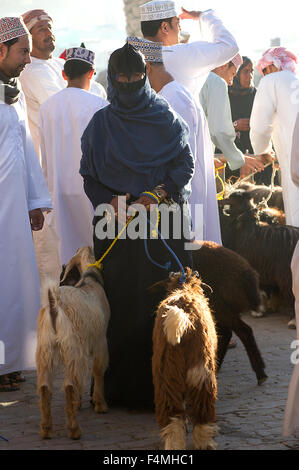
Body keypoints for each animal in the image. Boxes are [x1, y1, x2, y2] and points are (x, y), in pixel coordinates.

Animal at [35, 246, 110, 440]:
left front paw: (79, 403)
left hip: (45, 350)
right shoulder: (100, 340)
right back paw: (75, 430)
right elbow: (97, 370)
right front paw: (100, 405)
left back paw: (46, 429)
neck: (89, 281)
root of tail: (54, 305)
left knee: (45, 387)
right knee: (69, 385)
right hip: (72, 348)